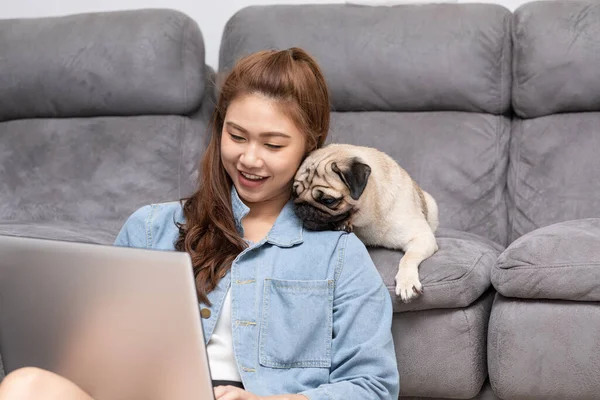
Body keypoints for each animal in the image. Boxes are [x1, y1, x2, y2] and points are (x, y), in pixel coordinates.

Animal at [292, 144, 438, 304]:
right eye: (295, 194)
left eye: (328, 201)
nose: (304, 206)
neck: (368, 219)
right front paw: (343, 225)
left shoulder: (422, 238)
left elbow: (408, 258)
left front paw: (407, 282)